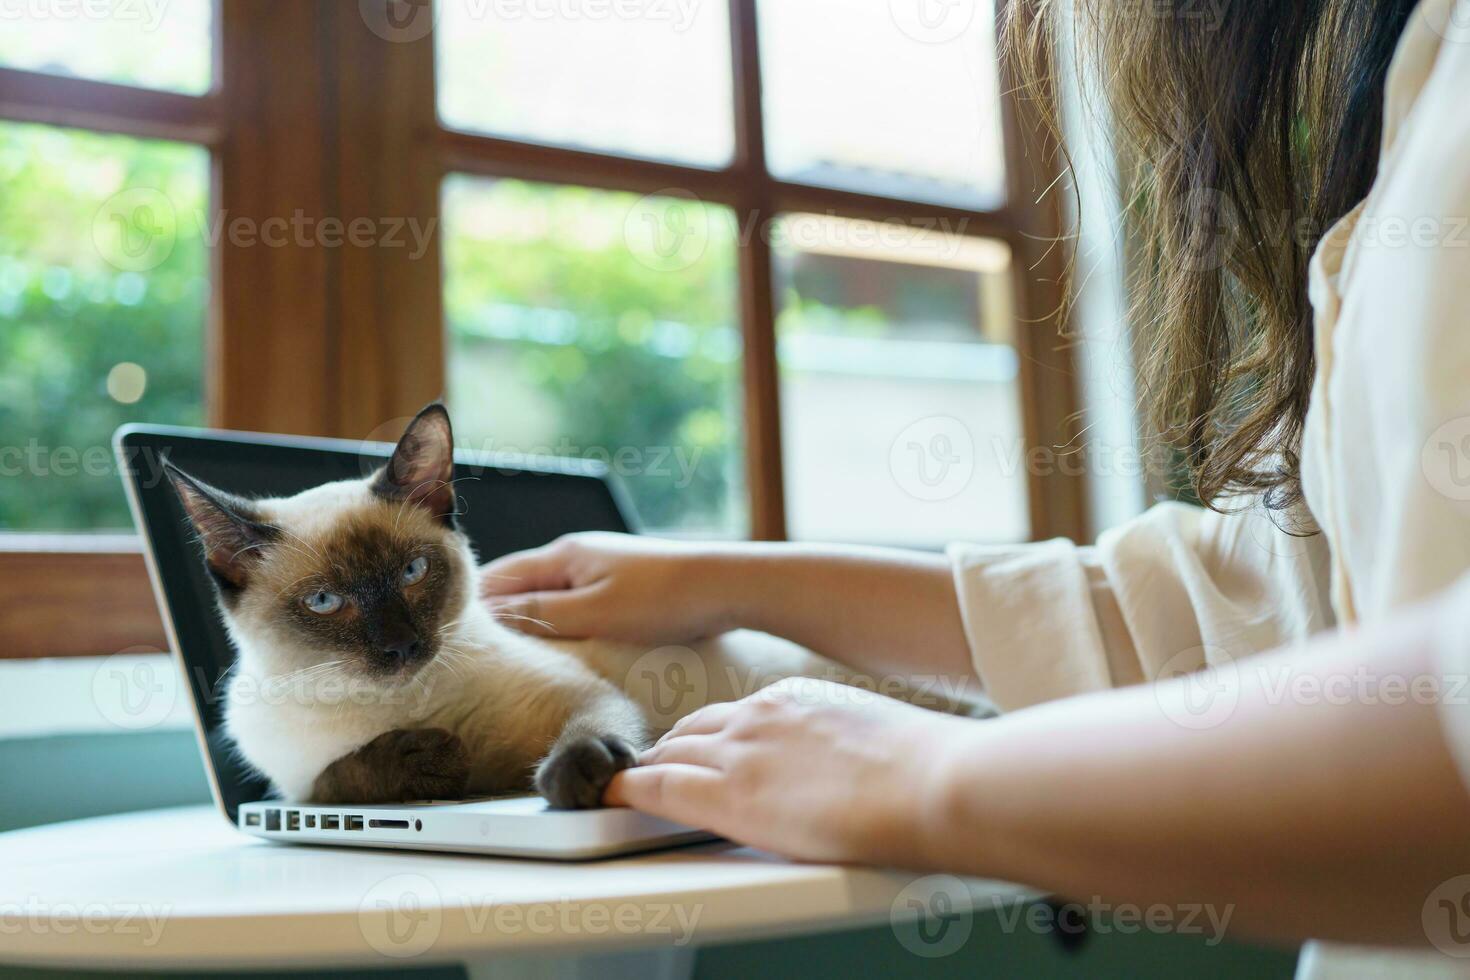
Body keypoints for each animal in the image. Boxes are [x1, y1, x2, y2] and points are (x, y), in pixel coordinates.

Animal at [166, 402, 981, 811]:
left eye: (413, 572)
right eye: (327, 601)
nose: (400, 649)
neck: (401, 705)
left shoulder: (582, 698)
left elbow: (594, 730)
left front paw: (572, 779)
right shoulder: (292, 783)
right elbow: (345, 776)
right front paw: (434, 760)